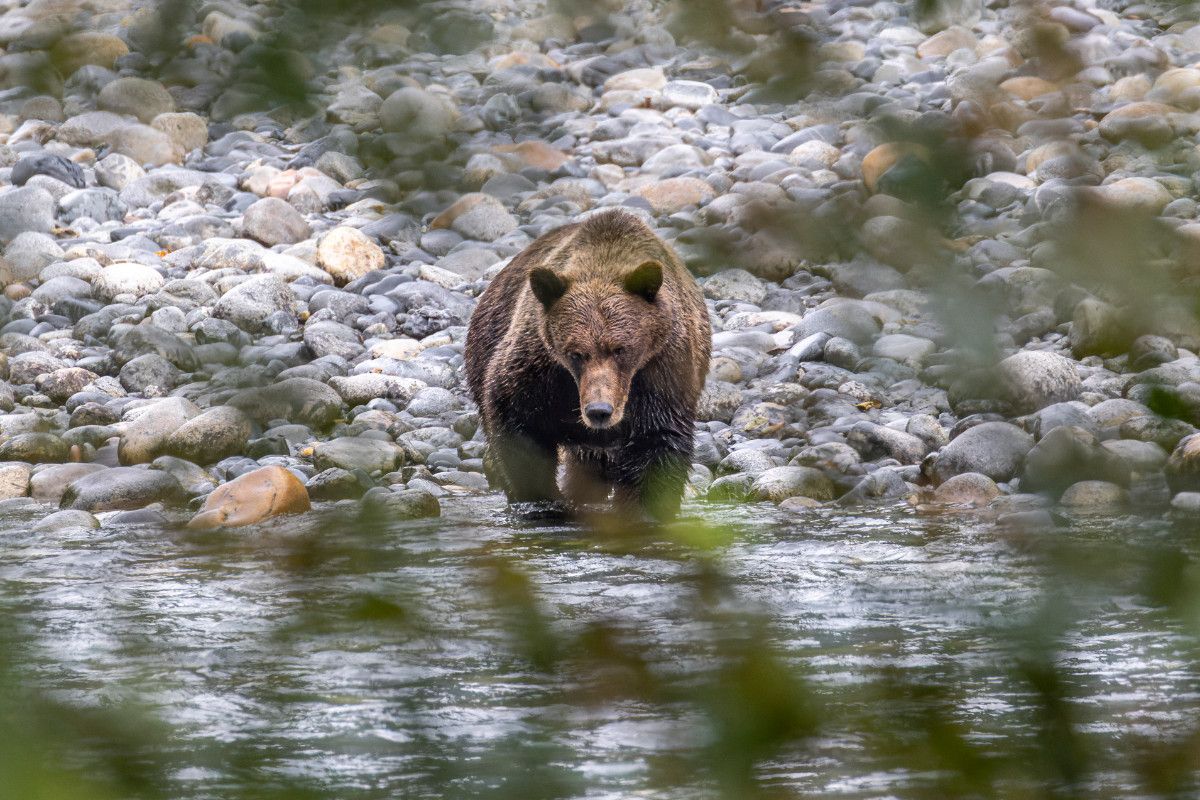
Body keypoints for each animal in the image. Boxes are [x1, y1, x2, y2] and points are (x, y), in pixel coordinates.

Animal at [465, 208, 710, 520]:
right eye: (576, 353)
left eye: (620, 349)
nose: (599, 411)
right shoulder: (539, 370)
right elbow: (518, 423)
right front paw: (542, 504)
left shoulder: (662, 370)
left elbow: (657, 441)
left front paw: (641, 512)